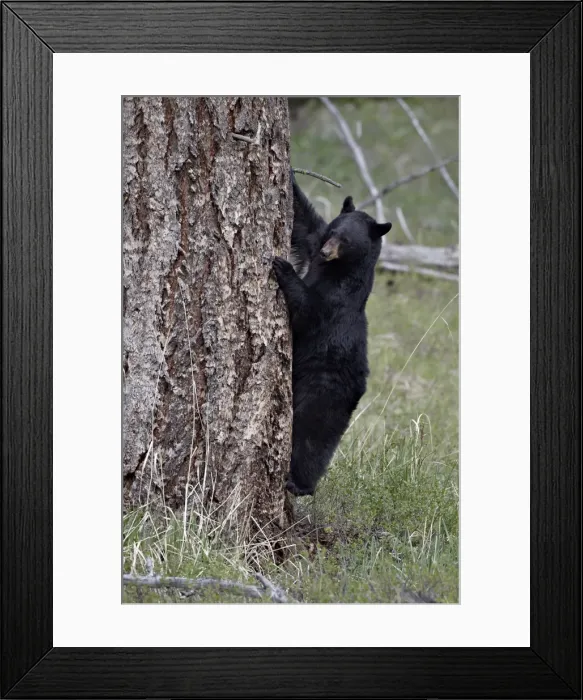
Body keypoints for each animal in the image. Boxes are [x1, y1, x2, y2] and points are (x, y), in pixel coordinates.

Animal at [273, 174, 392, 495]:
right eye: (333, 231)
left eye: (346, 240)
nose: (327, 252)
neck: (335, 269)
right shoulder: (313, 244)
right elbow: (303, 222)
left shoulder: (337, 300)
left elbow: (308, 311)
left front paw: (283, 267)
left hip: (324, 391)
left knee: (312, 436)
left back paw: (299, 484)